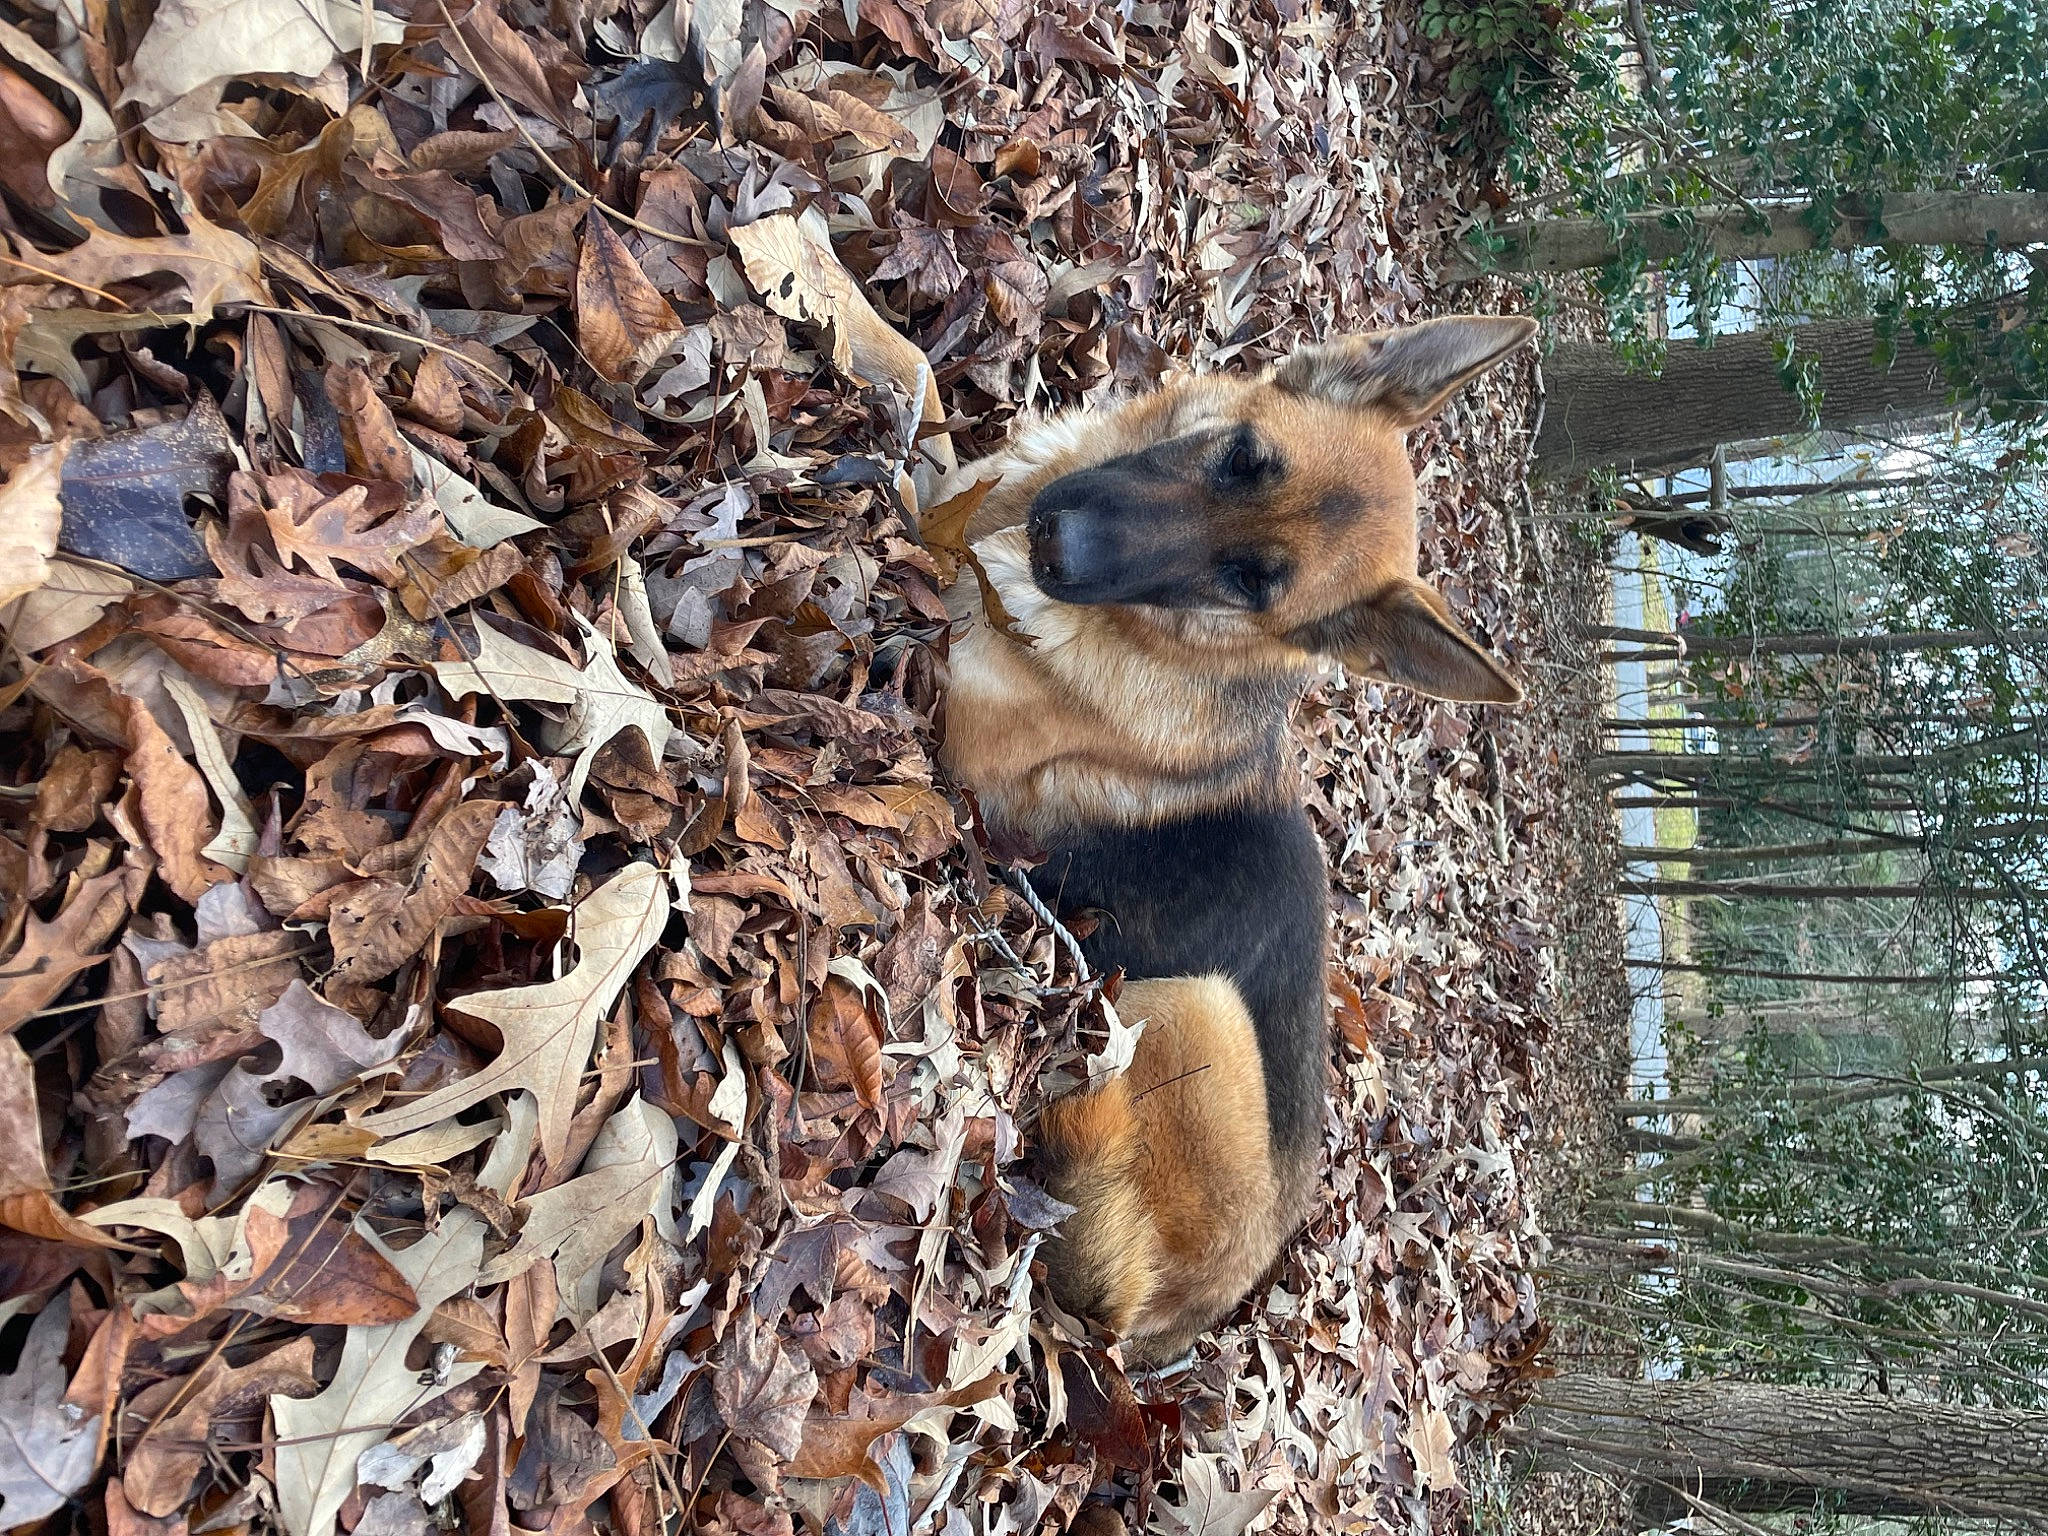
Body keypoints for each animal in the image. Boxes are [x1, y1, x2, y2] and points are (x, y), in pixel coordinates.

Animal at [932, 315, 1537, 1365]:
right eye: (1241, 456)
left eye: (1249, 583)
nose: (1055, 540)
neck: (1158, 640)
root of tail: (1163, 1326)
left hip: (1193, 1006)